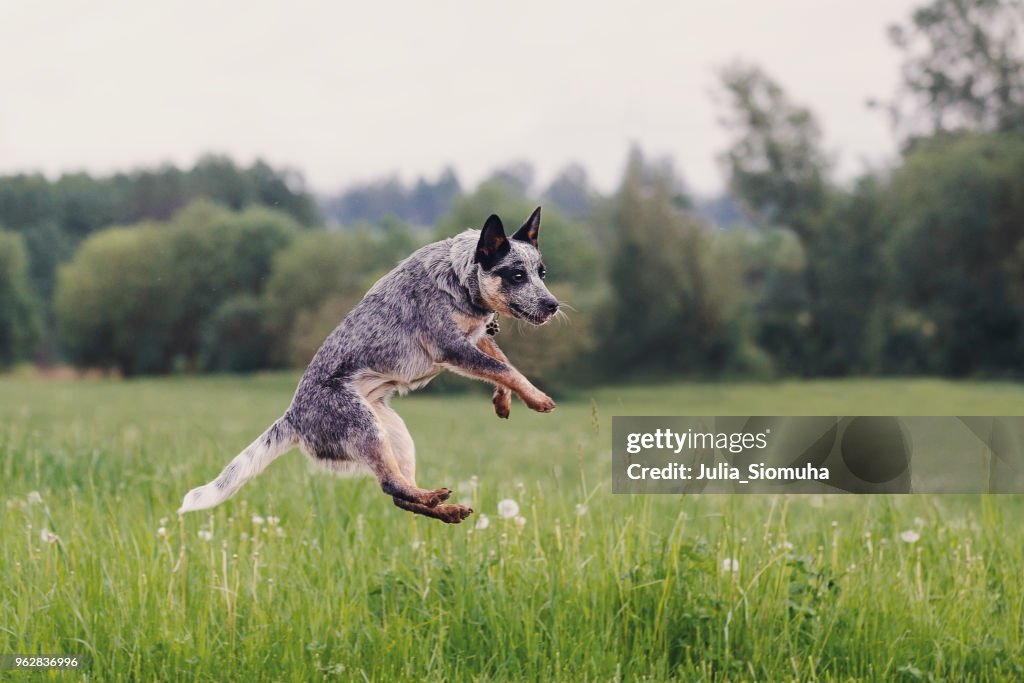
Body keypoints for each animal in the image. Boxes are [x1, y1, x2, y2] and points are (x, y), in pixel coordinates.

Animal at [178, 208, 561, 524]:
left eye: (541, 273)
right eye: (516, 275)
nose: (553, 304)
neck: (459, 277)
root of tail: (293, 417)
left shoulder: (476, 337)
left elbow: (501, 363)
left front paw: (505, 399)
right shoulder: (451, 347)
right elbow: (505, 369)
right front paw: (538, 398)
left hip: (395, 434)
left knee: (399, 494)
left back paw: (446, 509)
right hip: (366, 427)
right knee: (392, 486)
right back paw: (434, 497)